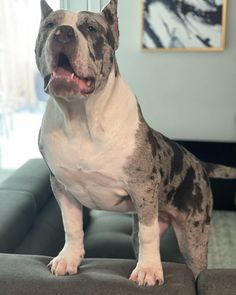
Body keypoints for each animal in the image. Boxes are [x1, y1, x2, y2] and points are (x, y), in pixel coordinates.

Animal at [35, 0, 236, 286]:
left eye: (91, 28)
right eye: (49, 25)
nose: (62, 32)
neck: (80, 117)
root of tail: (199, 163)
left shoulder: (143, 189)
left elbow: (149, 235)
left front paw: (149, 269)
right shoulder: (62, 188)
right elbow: (71, 227)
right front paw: (68, 259)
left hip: (193, 237)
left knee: (192, 263)